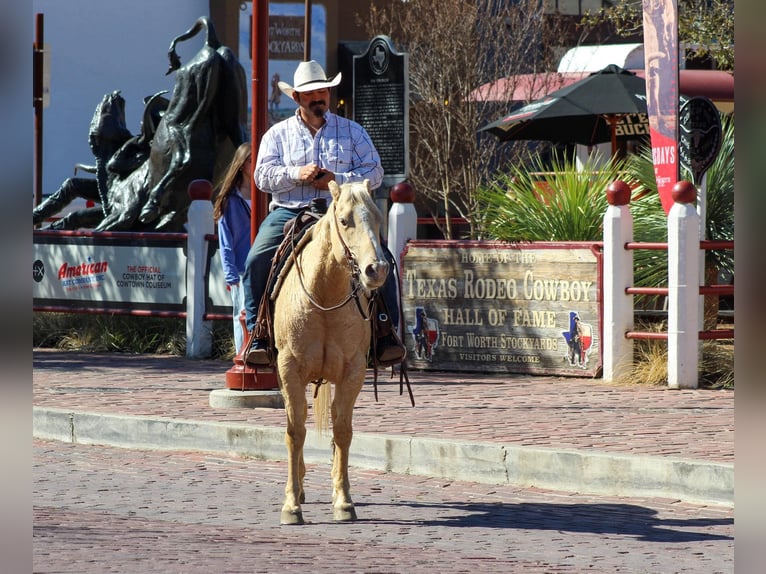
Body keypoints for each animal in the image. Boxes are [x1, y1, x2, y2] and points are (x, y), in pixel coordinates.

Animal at [272, 179, 389, 525]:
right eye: (344, 220)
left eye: (378, 218)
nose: (376, 270)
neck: (323, 296)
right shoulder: (288, 370)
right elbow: (295, 431)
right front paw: (291, 504)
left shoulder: (353, 371)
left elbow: (343, 430)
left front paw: (344, 500)